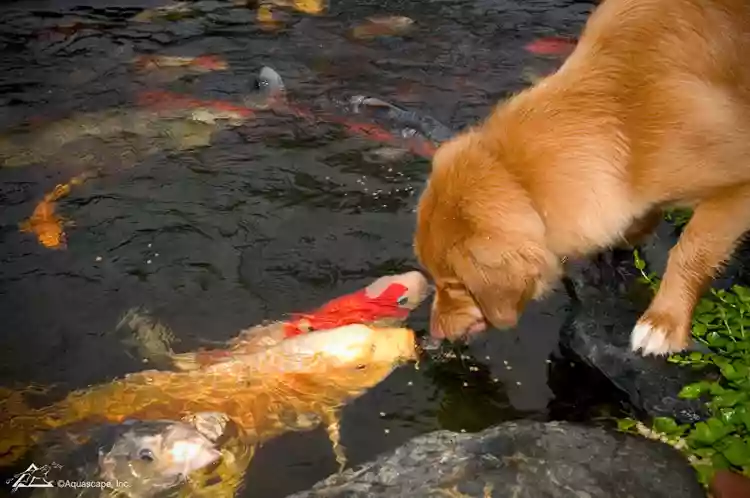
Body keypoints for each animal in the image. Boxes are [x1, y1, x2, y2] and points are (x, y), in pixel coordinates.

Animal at [414, 0, 750, 358]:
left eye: (455, 285)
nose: (434, 332)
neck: (622, 112)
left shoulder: (737, 185)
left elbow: (690, 251)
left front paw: (664, 321)